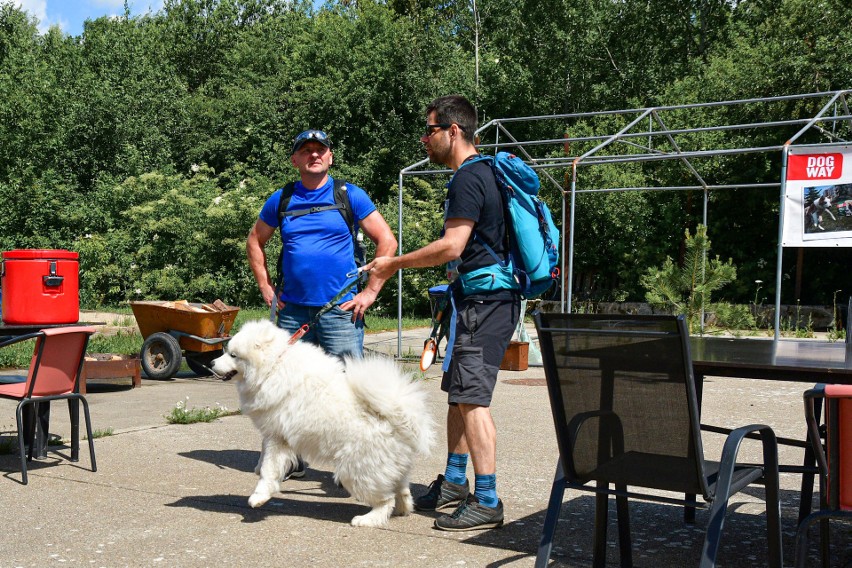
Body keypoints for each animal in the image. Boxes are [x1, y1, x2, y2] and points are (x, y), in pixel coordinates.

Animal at [212, 320, 436, 528]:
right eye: (228, 352)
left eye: (233, 355)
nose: (212, 363)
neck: (274, 366)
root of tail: (396, 416)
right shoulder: (273, 434)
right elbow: (265, 459)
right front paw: (260, 475)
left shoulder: (278, 438)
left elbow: (269, 468)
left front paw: (258, 497)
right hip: (389, 467)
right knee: (402, 489)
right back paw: (402, 509)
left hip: (357, 471)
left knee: (385, 499)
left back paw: (367, 519)